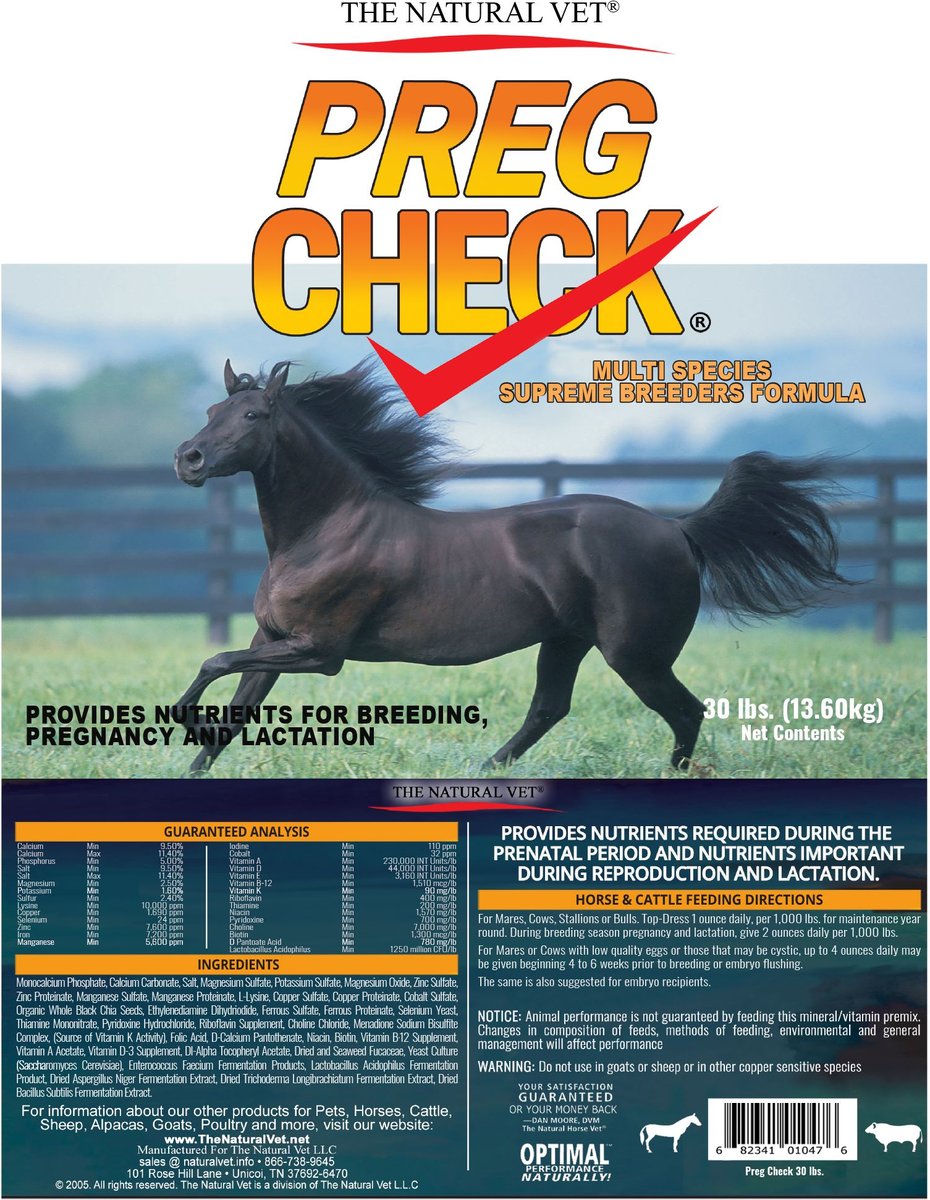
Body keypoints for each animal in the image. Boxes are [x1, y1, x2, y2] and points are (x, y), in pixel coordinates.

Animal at [172, 359, 847, 775]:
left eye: (254, 416)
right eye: (209, 411)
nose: (189, 458)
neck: (325, 530)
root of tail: (677, 528)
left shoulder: (321, 651)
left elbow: (214, 663)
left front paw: (186, 723)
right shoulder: (273, 640)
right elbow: (234, 709)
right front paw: (194, 760)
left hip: (636, 655)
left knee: (686, 711)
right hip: (567, 640)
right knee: (549, 708)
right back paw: (483, 770)